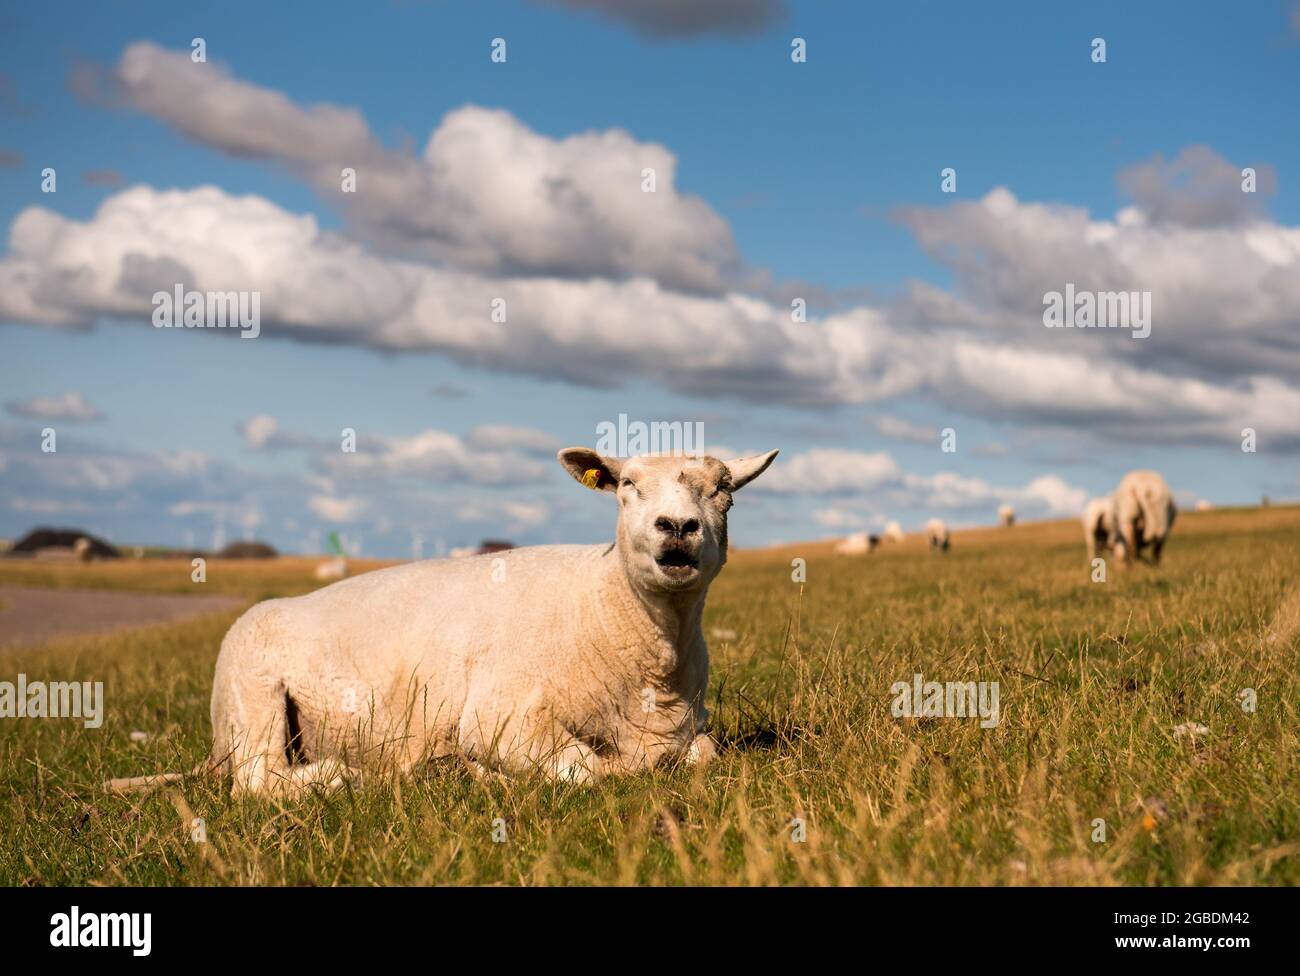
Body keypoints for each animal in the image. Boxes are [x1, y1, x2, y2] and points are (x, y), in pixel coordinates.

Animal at [106, 447, 774, 795]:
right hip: (255, 699)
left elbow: (704, 754)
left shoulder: (686, 729)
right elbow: (588, 771)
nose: (678, 527)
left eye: (724, 489)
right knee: (259, 780)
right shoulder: (502, 717)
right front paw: (478, 773)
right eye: (627, 484)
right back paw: (346, 775)